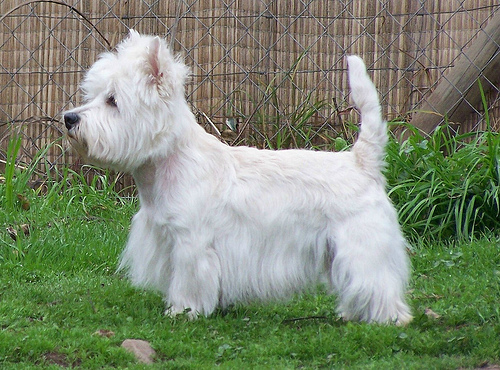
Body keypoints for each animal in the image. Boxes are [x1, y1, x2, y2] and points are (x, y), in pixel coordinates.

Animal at [64, 30, 412, 326]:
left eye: (112, 101)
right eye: (93, 95)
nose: (69, 118)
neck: (168, 164)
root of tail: (361, 162)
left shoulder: (192, 242)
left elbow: (190, 281)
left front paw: (183, 311)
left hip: (360, 242)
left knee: (376, 280)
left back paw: (390, 318)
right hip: (334, 249)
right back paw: (353, 314)